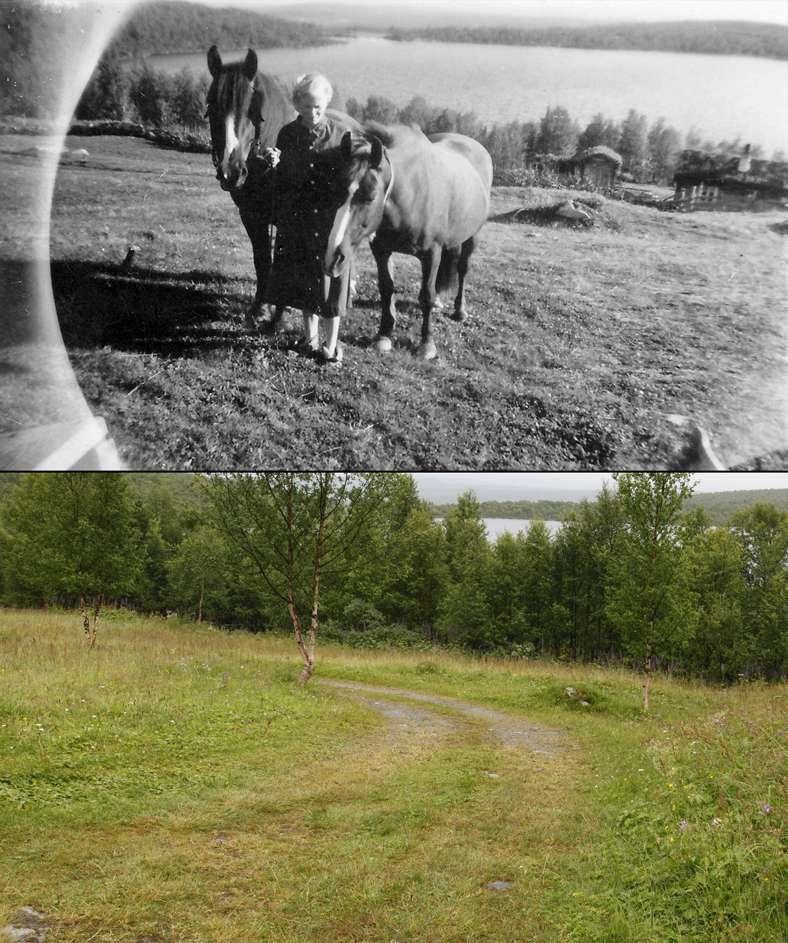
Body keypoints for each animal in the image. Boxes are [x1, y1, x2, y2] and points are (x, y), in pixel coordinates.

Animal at [206, 48, 296, 328]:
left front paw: (279, 313)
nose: (231, 172)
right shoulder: (252, 216)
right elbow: (262, 259)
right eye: (211, 108)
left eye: (254, 111)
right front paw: (260, 308)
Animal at [322, 123, 492, 360]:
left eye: (370, 196)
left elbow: (426, 295)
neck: (412, 192)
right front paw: (384, 335)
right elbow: (386, 288)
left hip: (472, 236)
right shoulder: (381, 249)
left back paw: (460, 310)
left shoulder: (432, 253)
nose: (333, 258)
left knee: (463, 269)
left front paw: (427, 344)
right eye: (335, 190)